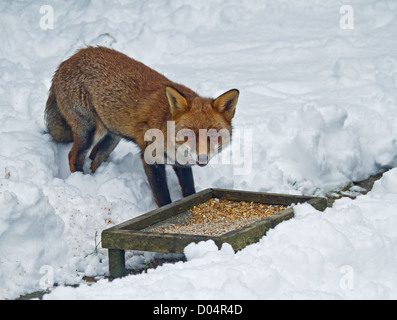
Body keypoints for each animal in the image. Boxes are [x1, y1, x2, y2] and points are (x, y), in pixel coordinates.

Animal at [46, 47, 238, 208]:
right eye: (188, 135)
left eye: (213, 135)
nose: (202, 158)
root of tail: (67, 60)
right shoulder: (150, 158)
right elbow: (163, 197)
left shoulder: (181, 164)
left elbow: (189, 191)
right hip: (90, 131)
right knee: (73, 156)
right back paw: (81, 182)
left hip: (112, 136)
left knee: (96, 157)